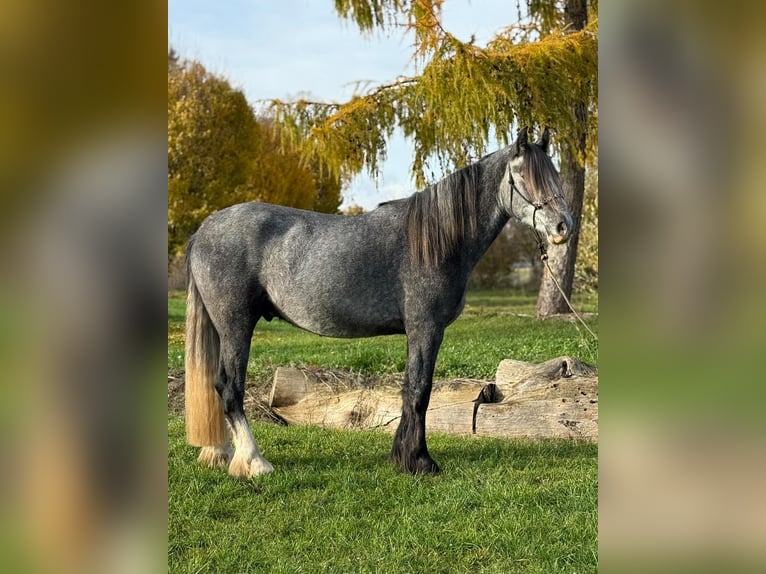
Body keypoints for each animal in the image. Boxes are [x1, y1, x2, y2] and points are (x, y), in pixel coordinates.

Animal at [184, 126, 573, 476]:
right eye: (524, 176)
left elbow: (412, 389)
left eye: (553, 174)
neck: (434, 241)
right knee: (229, 387)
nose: (563, 226)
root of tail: (204, 229)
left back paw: (220, 453)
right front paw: (419, 461)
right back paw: (254, 462)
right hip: (236, 325)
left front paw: (404, 457)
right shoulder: (425, 329)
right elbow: (419, 391)